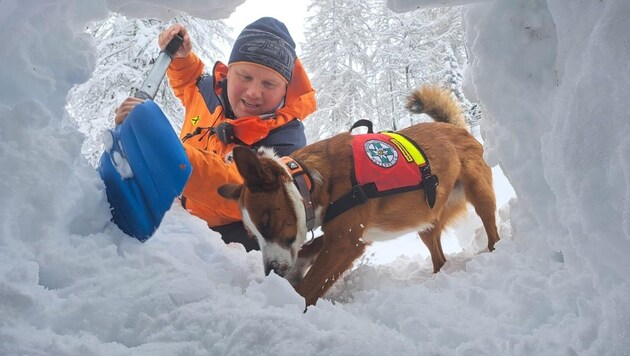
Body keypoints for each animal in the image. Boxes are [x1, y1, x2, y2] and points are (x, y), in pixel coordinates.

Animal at [220, 84, 502, 306]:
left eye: (267, 222)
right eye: (251, 234)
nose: (271, 273)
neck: (311, 179)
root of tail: (452, 127)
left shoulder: (344, 242)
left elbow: (309, 287)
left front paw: (288, 303)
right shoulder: (343, 233)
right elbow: (309, 247)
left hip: (479, 193)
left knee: (491, 231)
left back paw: (494, 253)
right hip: (426, 221)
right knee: (439, 258)